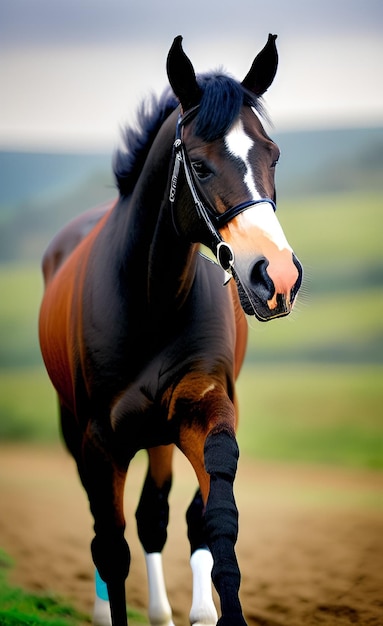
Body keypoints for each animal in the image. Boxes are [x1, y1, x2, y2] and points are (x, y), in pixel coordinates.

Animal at [39, 34, 304, 624]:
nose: (277, 276)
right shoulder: (99, 441)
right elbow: (112, 548)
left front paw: (211, 611)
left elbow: (213, 522)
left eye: (272, 154)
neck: (149, 298)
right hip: (79, 429)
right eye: (200, 167)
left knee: (156, 514)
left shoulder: (204, 410)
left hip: (159, 434)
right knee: (111, 528)